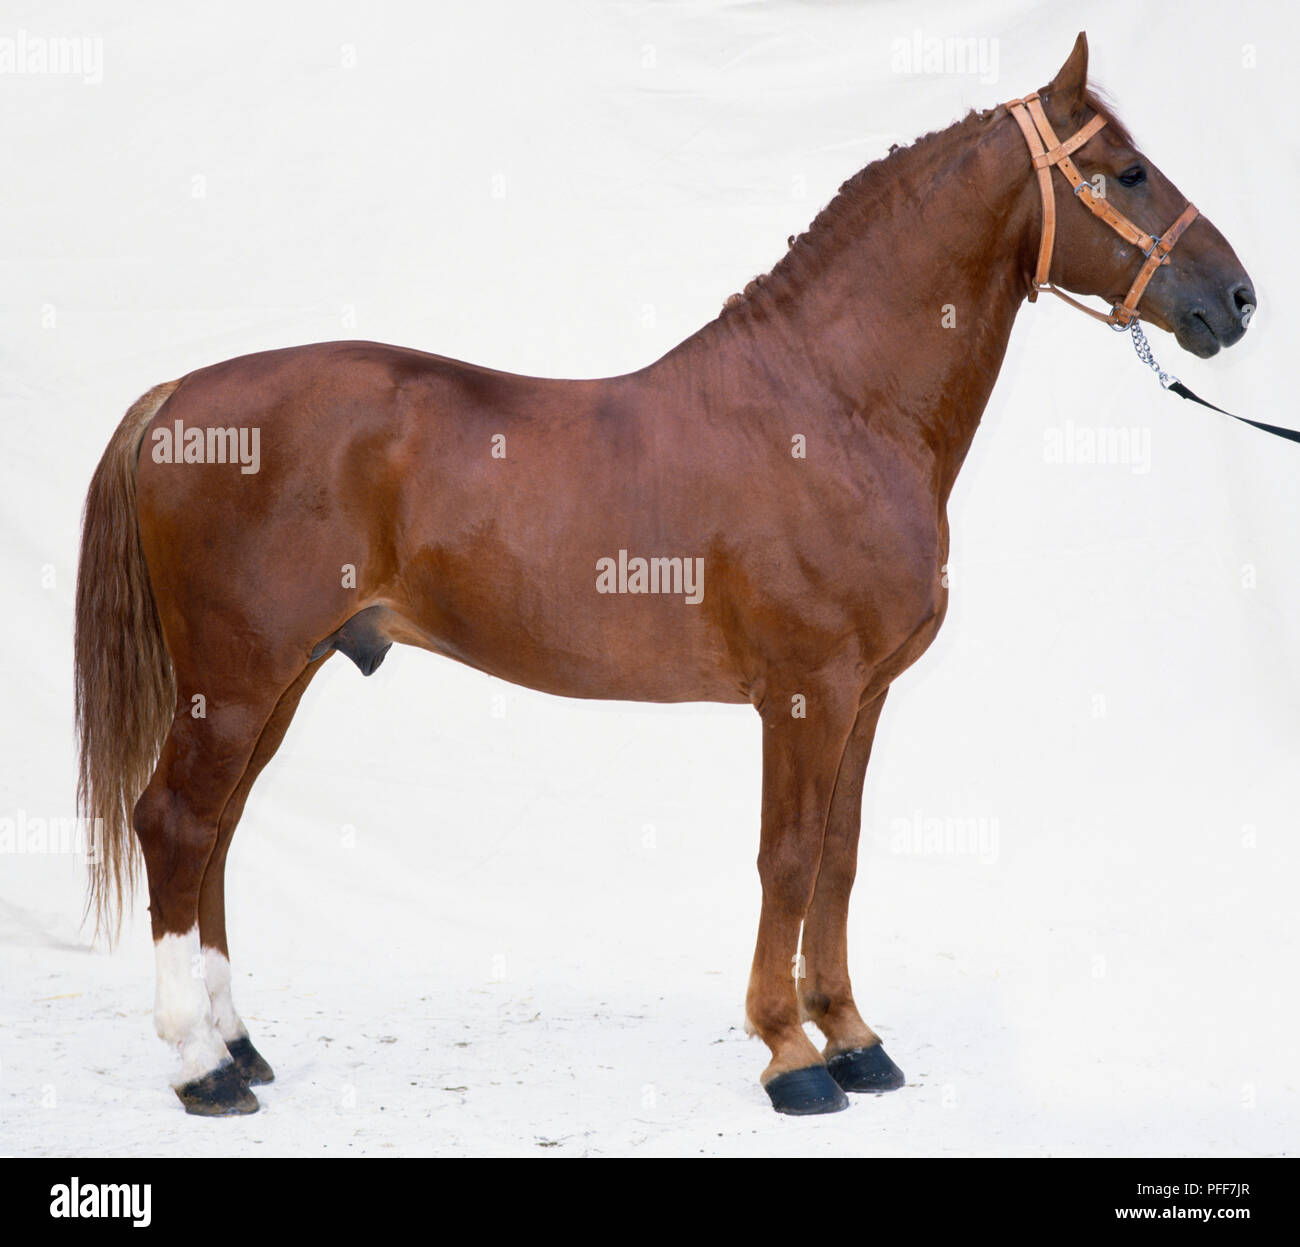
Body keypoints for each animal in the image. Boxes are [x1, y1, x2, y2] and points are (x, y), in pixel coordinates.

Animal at [74, 32, 1255, 1117]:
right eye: (1128, 171)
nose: (1238, 299)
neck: (832, 406)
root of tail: (180, 397)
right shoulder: (804, 694)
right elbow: (787, 857)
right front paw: (792, 1057)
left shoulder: (863, 697)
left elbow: (840, 857)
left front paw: (856, 1040)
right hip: (237, 678)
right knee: (176, 824)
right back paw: (200, 1067)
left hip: (278, 676)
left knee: (216, 834)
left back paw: (240, 1046)